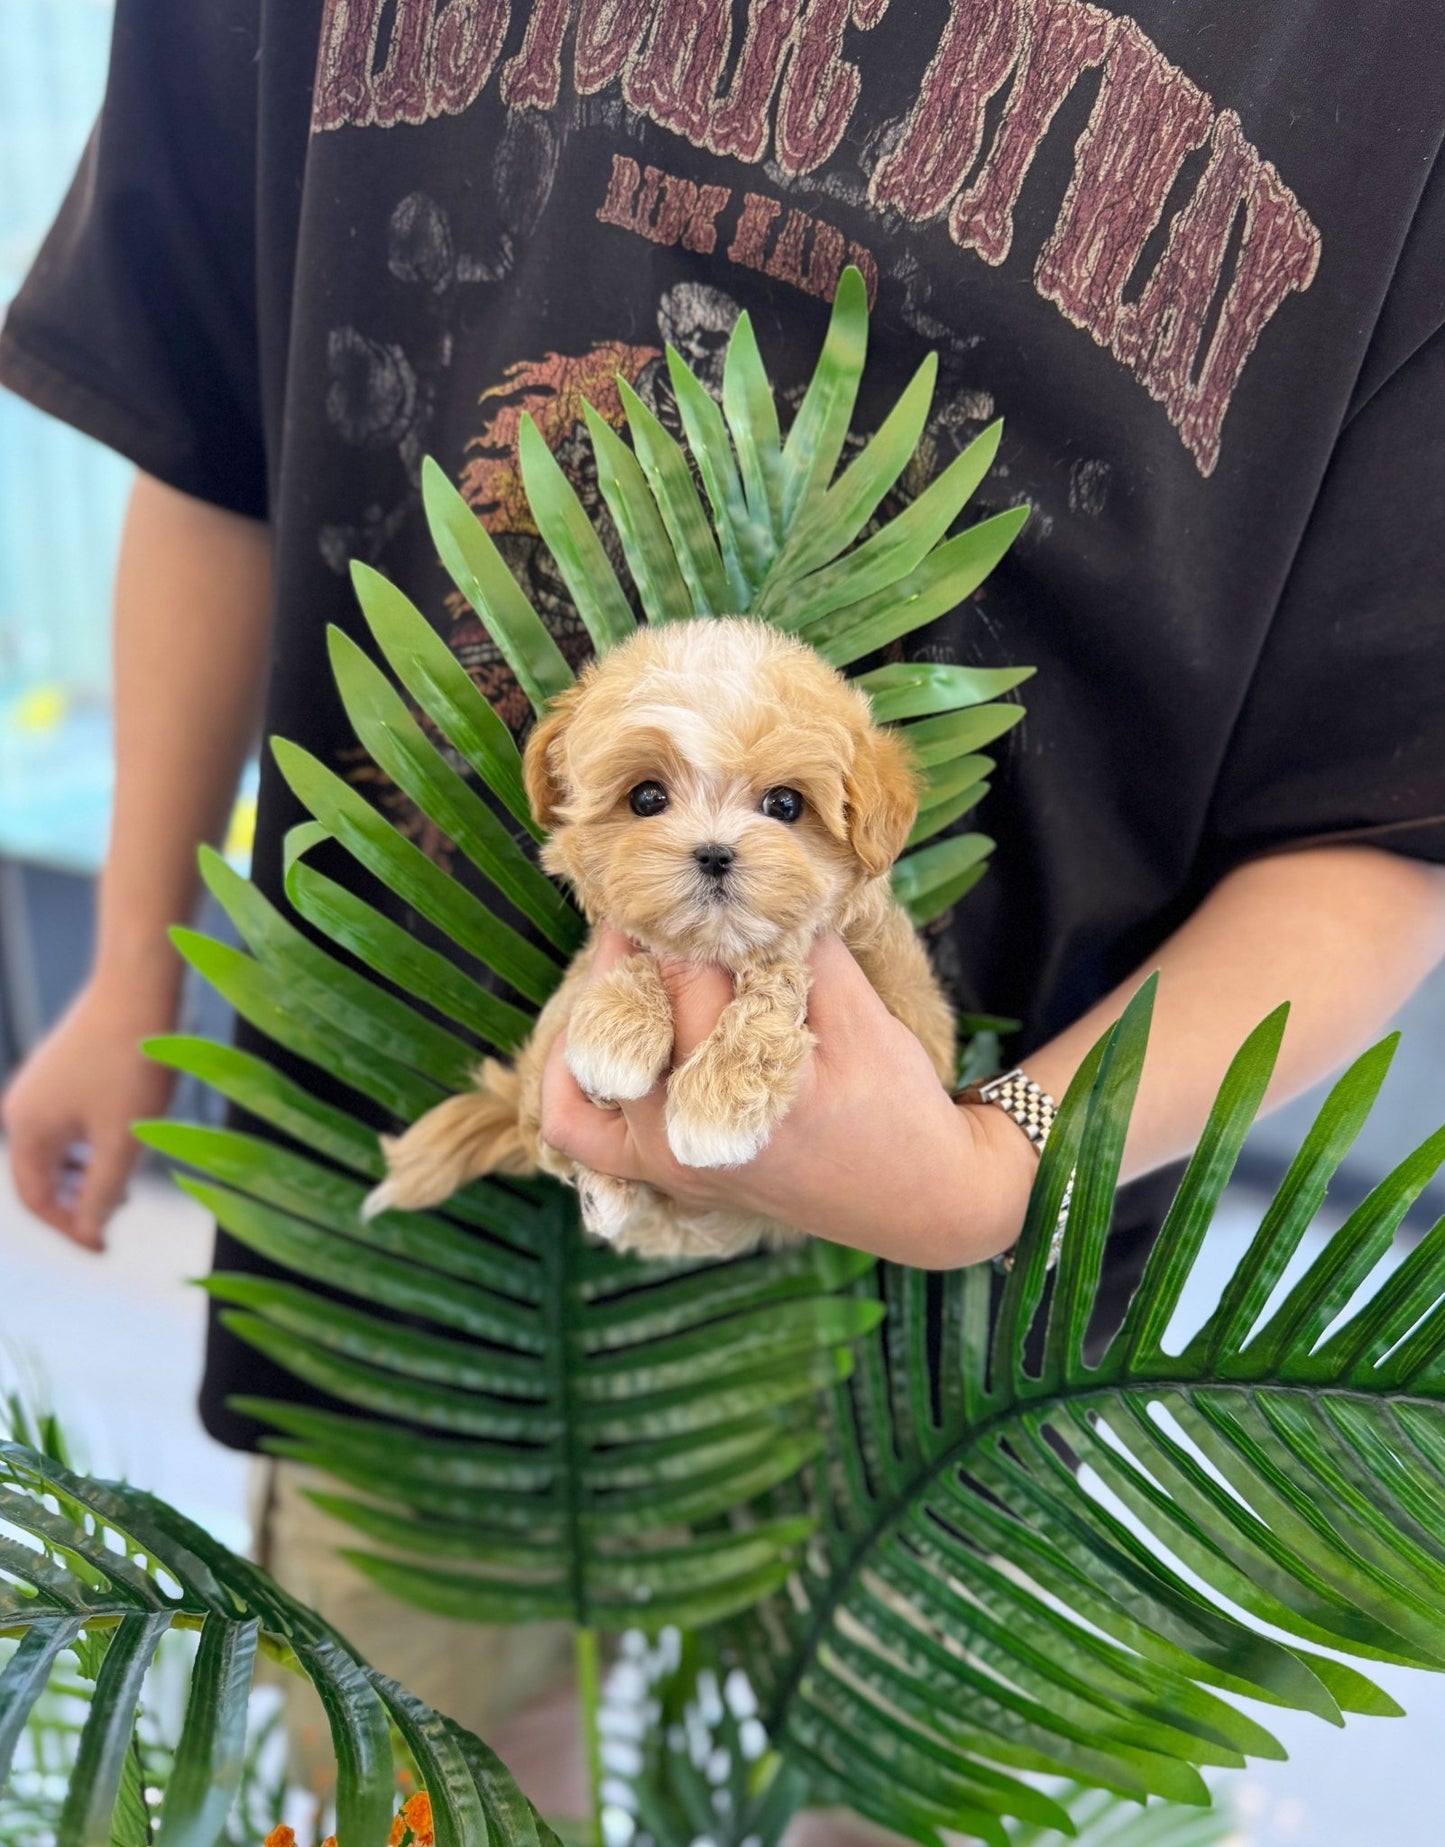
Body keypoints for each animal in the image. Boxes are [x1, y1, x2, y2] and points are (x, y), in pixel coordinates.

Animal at [365, 616, 960, 1255]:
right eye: (648, 798)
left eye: (785, 803)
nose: (715, 853)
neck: (714, 949)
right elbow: (636, 948)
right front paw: (617, 1030)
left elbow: (781, 972)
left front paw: (718, 1099)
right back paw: (602, 1188)